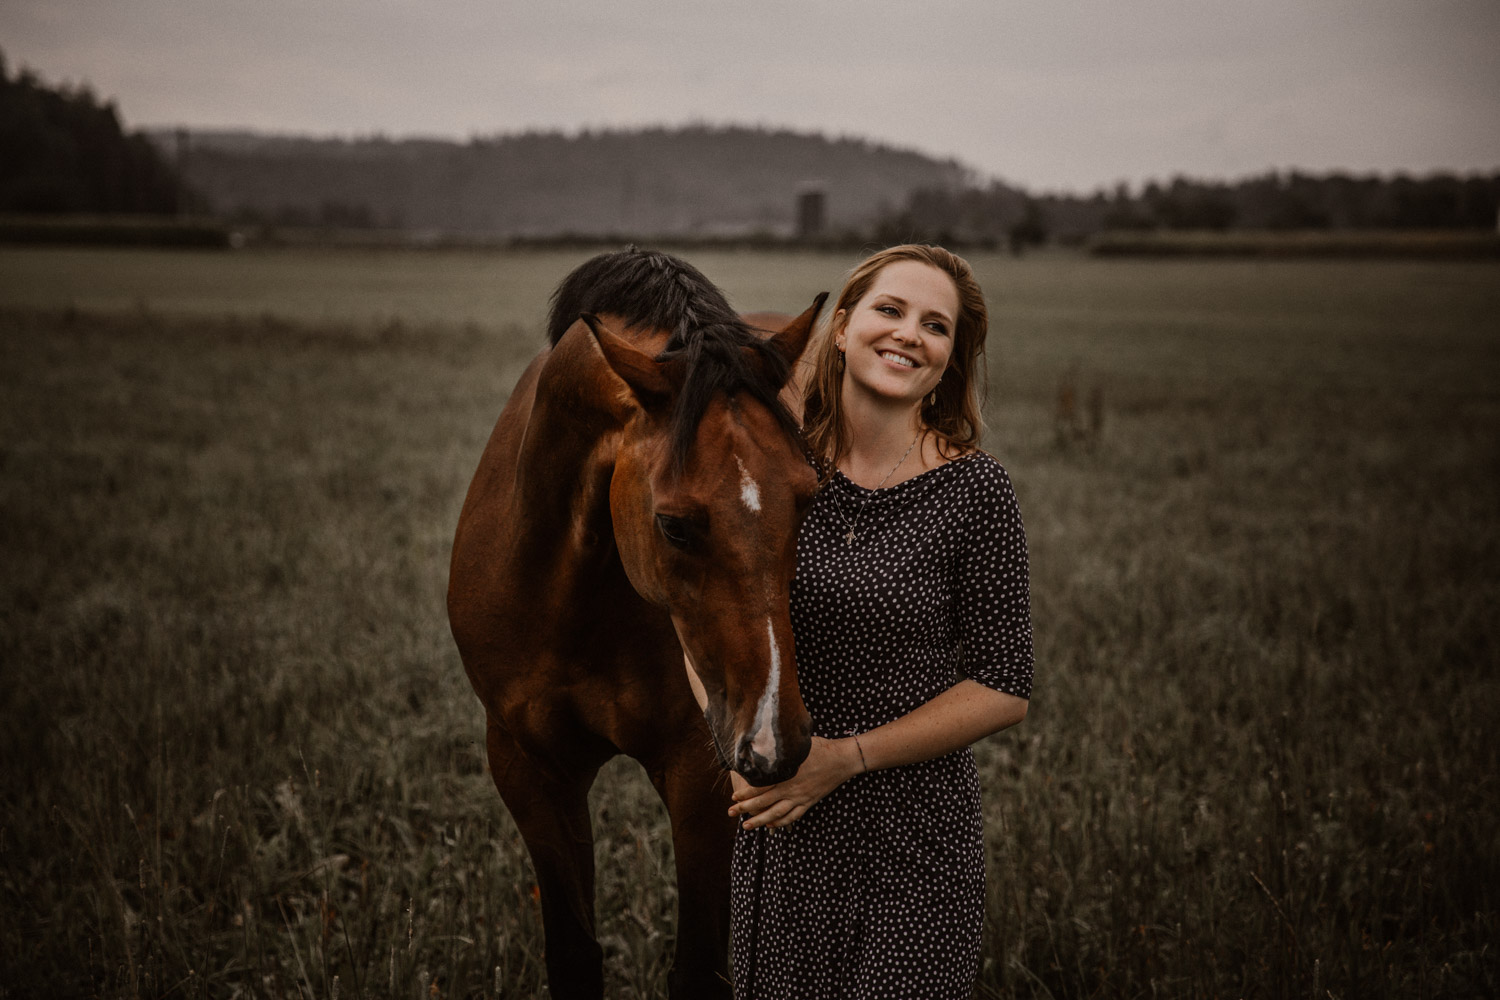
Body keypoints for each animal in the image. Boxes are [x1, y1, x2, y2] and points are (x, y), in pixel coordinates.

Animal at [444, 244, 828, 1000]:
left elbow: (700, 968)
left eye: (808, 498)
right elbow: (573, 952)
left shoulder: (700, 776)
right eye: (673, 525)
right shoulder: (528, 767)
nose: (773, 741)